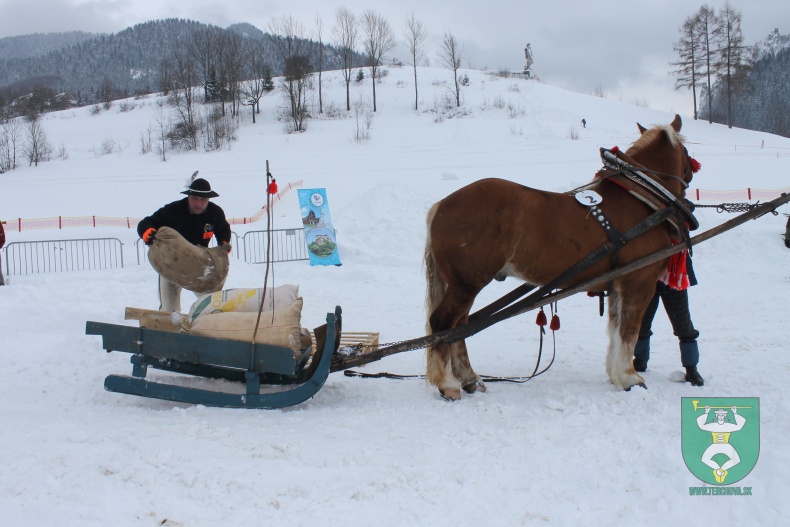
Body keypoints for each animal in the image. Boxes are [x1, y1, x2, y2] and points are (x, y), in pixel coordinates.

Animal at [426, 115, 700, 400]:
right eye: (687, 152)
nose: (691, 175)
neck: (641, 199)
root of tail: (441, 205)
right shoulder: (639, 282)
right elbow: (629, 332)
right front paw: (629, 378)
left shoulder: (619, 285)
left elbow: (616, 331)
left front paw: (616, 374)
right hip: (465, 284)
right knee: (443, 324)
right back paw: (448, 383)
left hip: (464, 286)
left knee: (459, 327)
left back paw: (469, 379)